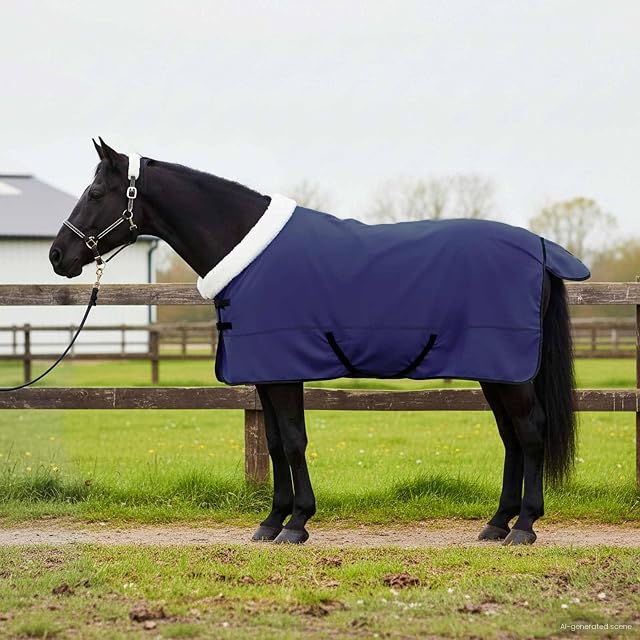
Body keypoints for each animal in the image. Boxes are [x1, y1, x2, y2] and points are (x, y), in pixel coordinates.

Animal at [50, 138, 585, 546]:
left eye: (95, 192)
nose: (58, 255)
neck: (247, 250)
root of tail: (541, 249)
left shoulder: (284, 372)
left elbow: (292, 441)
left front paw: (297, 523)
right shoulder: (266, 375)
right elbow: (274, 443)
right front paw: (272, 521)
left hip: (510, 372)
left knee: (530, 431)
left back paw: (525, 526)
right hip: (497, 371)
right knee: (511, 436)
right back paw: (497, 524)